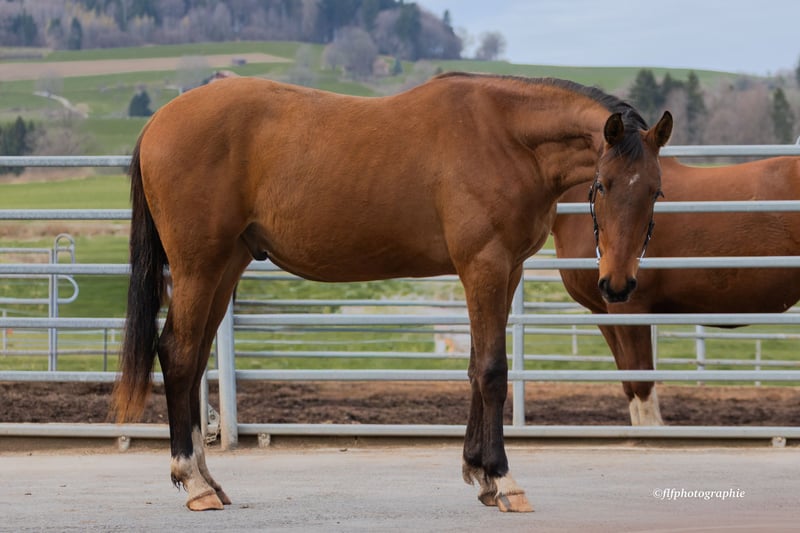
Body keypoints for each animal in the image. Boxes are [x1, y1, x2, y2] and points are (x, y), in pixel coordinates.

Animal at [112, 72, 672, 512]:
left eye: (655, 190)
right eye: (603, 185)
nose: (617, 284)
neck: (506, 138)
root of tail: (159, 122)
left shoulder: (505, 271)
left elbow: (475, 368)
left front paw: (479, 473)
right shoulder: (485, 266)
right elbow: (493, 372)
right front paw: (503, 478)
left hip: (224, 266)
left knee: (194, 361)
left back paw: (208, 479)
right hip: (197, 267)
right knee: (178, 355)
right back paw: (192, 482)